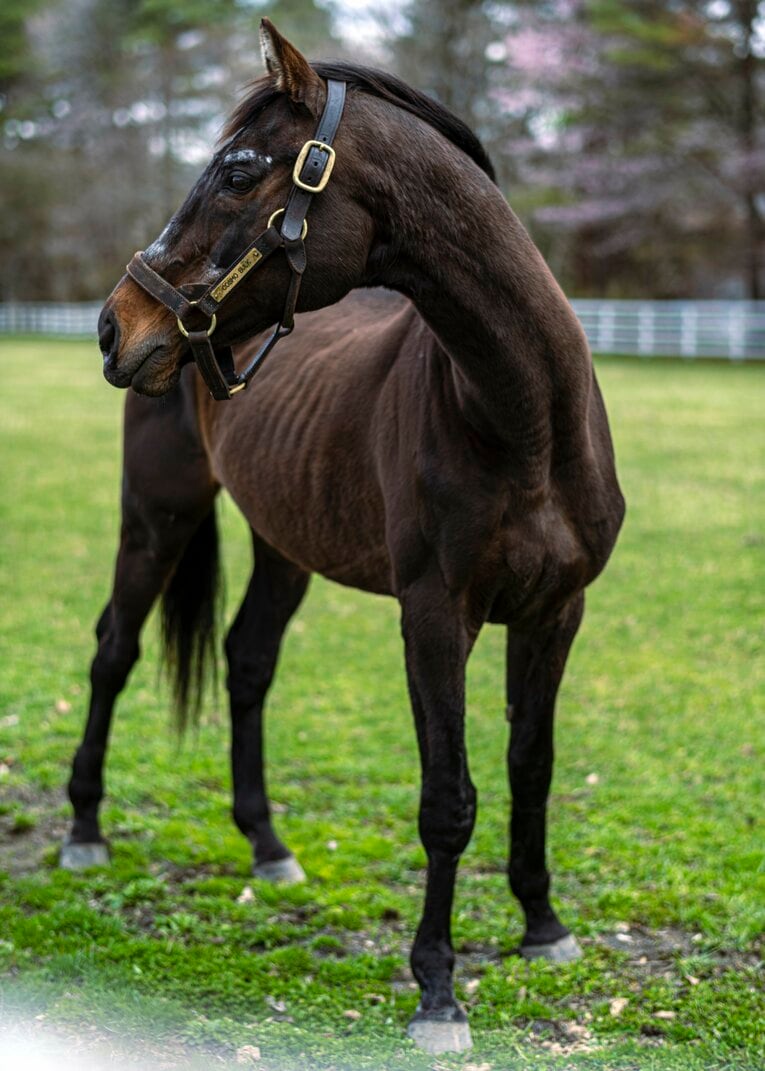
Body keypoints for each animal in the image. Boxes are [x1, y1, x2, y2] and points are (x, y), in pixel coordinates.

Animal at [62, 18, 625, 1054]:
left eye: (238, 170)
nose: (116, 326)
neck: (522, 421)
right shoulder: (435, 616)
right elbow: (448, 799)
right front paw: (437, 990)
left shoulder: (555, 612)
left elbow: (530, 767)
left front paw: (542, 925)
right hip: (157, 516)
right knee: (114, 648)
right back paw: (84, 834)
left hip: (285, 544)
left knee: (246, 662)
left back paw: (268, 847)